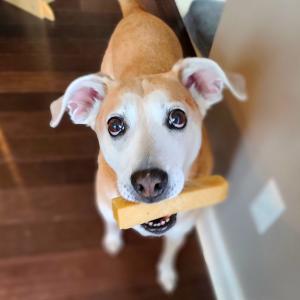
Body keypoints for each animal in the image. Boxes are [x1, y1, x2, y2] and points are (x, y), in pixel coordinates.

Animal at [49, 0, 246, 292]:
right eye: (115, 125)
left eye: (178, 118)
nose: (150, 182)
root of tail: (137, 13)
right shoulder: (105, 204)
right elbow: (111, 224)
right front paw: (112, 241)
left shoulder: (182, 226)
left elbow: (170, 251)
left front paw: (166, 273)